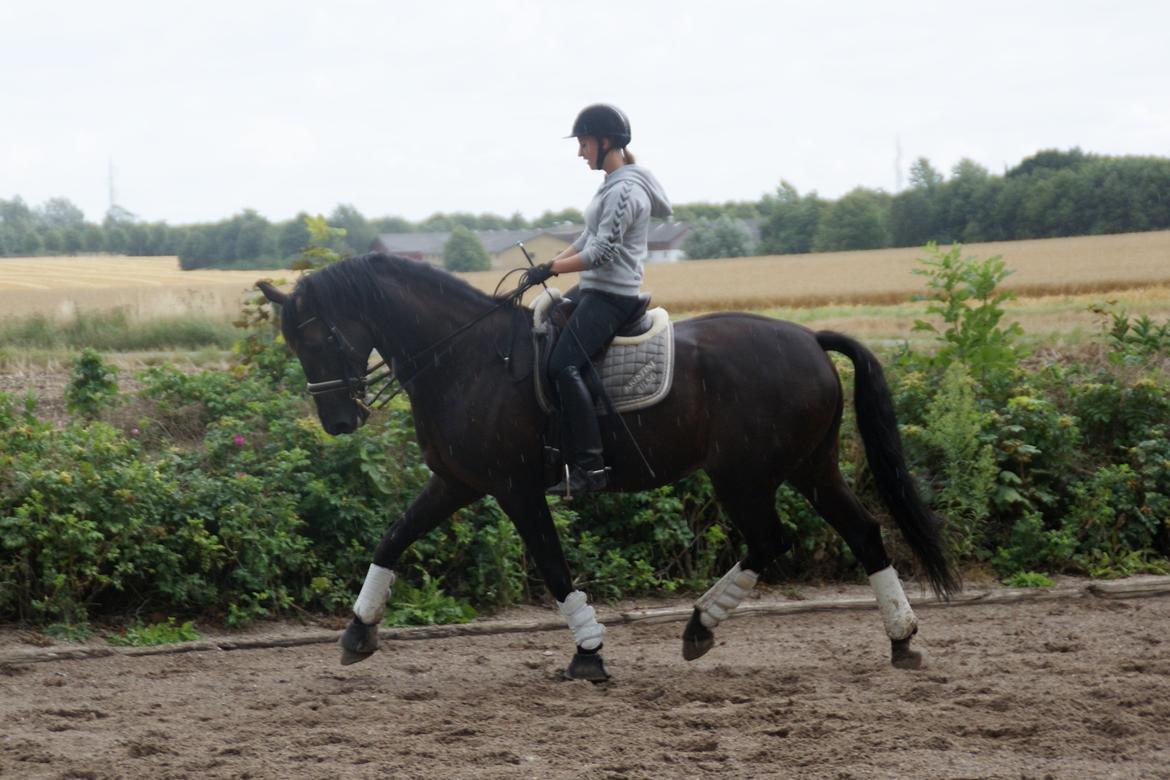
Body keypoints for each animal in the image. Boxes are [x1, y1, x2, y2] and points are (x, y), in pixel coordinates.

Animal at [258, 253, 959, 678]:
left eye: (318, 336)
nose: (338, 422)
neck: (467, 359)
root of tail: (810, 338)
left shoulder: (515, 489)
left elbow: (550, 564)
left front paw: (588, 653)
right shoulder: (456, 482)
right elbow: (393, 538)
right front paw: (357, 633)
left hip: (744, 475)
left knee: (771, 540)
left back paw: (701, 625)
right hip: (809, 468)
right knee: (862, 532)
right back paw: (900, 638)